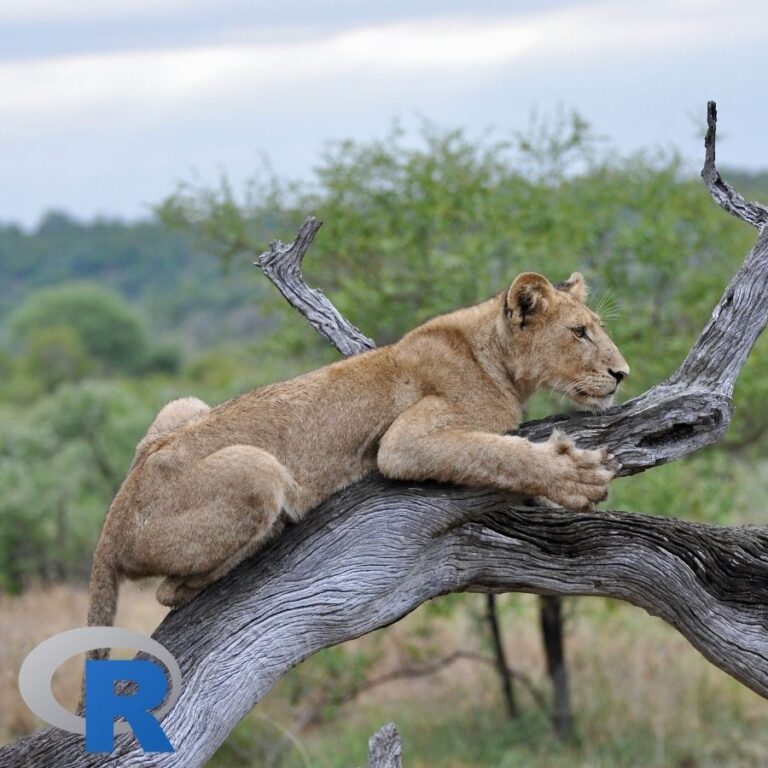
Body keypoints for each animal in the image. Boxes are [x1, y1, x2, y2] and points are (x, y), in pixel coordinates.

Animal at [86, 271, 628, 632]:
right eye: (579, 332)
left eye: (596, 327)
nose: (622, 373)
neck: (493, 355)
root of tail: (108, 529)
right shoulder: (403, 443)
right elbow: (499, 451)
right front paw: (574, 477)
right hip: (256, 468)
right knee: (168, 591)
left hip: (183, 406)